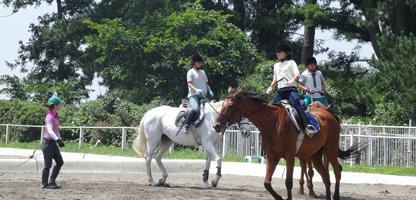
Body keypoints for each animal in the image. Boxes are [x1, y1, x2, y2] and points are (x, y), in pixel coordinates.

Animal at [213, 89, 342, 200]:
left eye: (230, 106)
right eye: (222, 104)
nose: (216, 125)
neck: (273, 123)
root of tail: (331, 116)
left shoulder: (289, 156)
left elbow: (288, 182)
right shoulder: (272, 156)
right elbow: (267, 183)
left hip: (330, 150)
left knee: (337, 171)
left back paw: (335, 195)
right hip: (315, 155)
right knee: (326, 177)